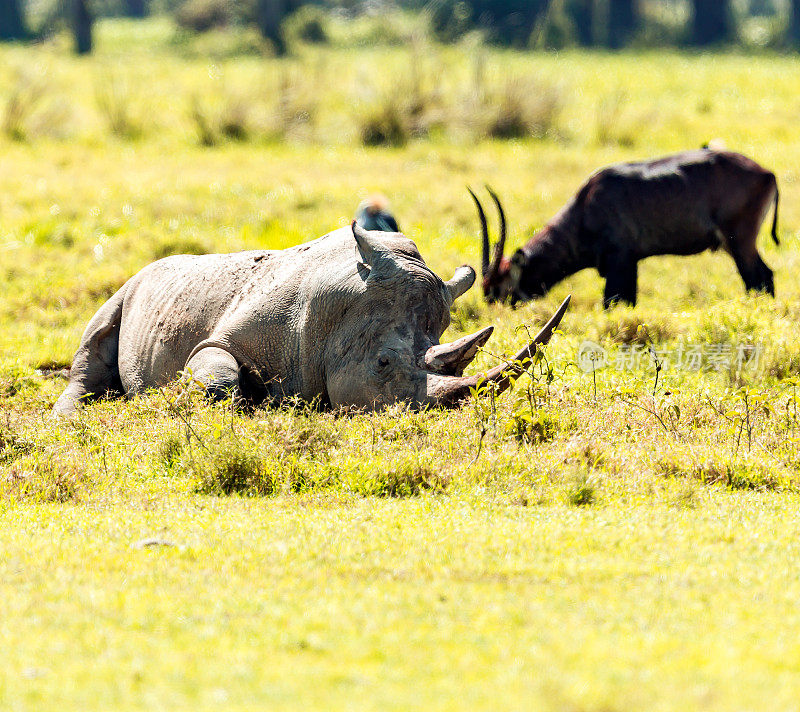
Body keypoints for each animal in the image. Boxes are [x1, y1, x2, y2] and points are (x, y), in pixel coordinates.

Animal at [472, 149, 780, 308]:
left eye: (497, 288)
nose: (492, 312)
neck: (586, 206)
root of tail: (768, 173)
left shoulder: (619, 263)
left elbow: (613, 302)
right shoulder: (628, 264)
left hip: (739, 242)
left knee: (760, 277)